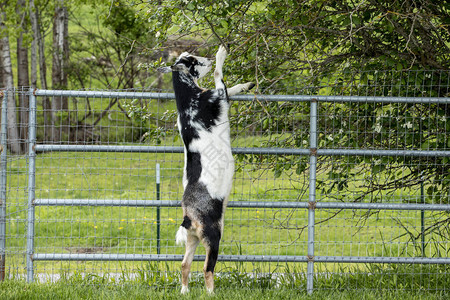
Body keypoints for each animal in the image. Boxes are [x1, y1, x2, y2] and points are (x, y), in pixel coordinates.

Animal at [159, 47, 253, 292]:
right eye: (192, 60)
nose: (207, 60)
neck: (189, 101)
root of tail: (188, 217)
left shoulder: (220, 97)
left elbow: (230, 88)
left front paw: (247, 84)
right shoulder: (217, 96)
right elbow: (220, 77)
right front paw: (221, 54)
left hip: (192, 239)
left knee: (184, 265)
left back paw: (184, 291)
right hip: (213, 236)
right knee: (207, 268)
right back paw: (211, 293)